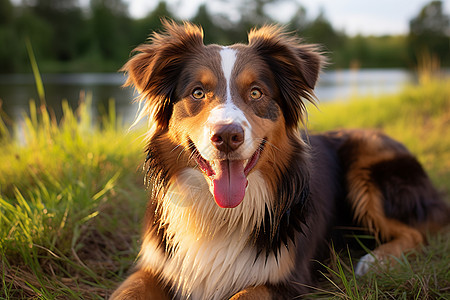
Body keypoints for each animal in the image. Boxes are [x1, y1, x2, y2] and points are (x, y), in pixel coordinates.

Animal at [110, 19, 448, 298]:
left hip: (368, 163)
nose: (227, 136)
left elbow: (242, 295)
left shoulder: (287, 280)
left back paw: (376, 260)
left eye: (256, 93)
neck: (220, 214)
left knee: (417, 232)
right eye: (197, 93)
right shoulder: (154, 268)